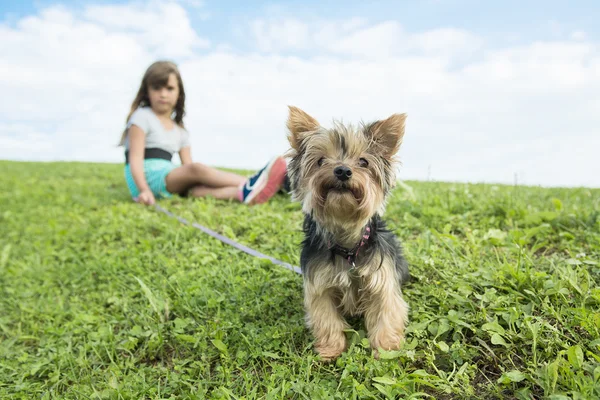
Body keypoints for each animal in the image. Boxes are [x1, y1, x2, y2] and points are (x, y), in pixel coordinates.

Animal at [284, 104, 410, 360]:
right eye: (321, 161)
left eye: (363, 161)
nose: (342, 170)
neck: (348, 245)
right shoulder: (320, 285)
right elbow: (326, 318)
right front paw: (331, 350)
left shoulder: (382, 281)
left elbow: (386, 312)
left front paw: (386, 349)